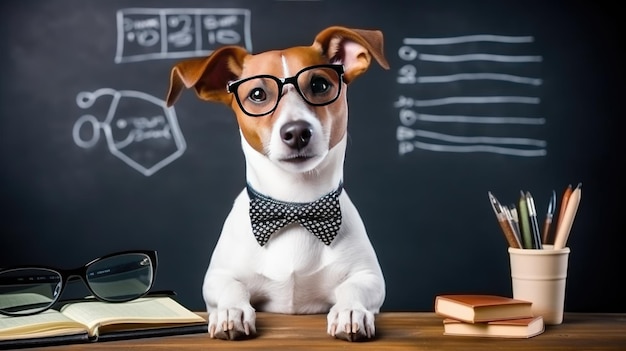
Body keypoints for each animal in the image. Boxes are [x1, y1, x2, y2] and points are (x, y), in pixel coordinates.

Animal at [166, 26, 390, 342]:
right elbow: (231, 287)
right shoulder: (216, 277)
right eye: (258, 94)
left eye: (320, 84)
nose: (297, 131)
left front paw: (351, 311)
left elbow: (355, 287)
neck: (294, 204)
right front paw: (230, 312)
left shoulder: (369, 276)